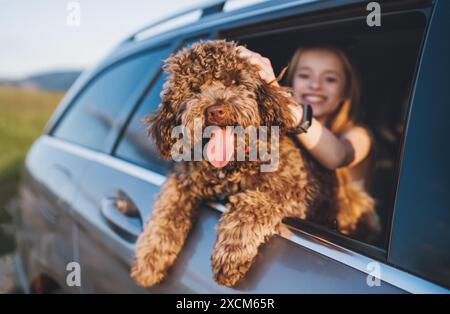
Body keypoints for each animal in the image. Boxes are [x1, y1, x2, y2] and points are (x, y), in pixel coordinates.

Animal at [131, 39, 380, 288]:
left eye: (234, 81)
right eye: (194, 88)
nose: (216, 110)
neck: (233, 164)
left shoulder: (298, 189)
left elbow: (252, 203)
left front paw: (231, 254)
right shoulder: (184, 179)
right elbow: (166, 210)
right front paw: (149, 258)